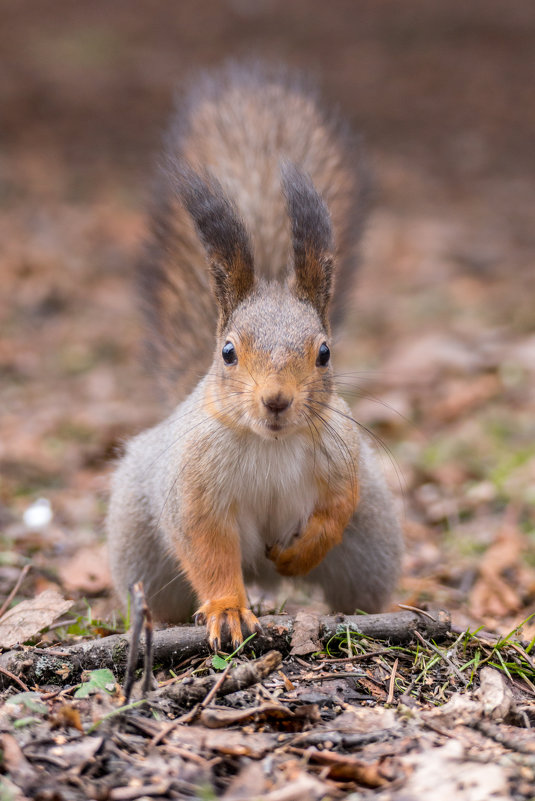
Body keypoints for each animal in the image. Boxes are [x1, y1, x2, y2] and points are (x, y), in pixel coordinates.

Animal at [107, 62, 404, 648]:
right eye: (227, 352)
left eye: (324, 352)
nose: (276, 401)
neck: (271, 444)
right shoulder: (193, 490)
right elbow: (208, 550)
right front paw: (227, 609)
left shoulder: (342, 462)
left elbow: (334, 513)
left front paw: (296, 556)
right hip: (139, 545)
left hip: (373, 542)